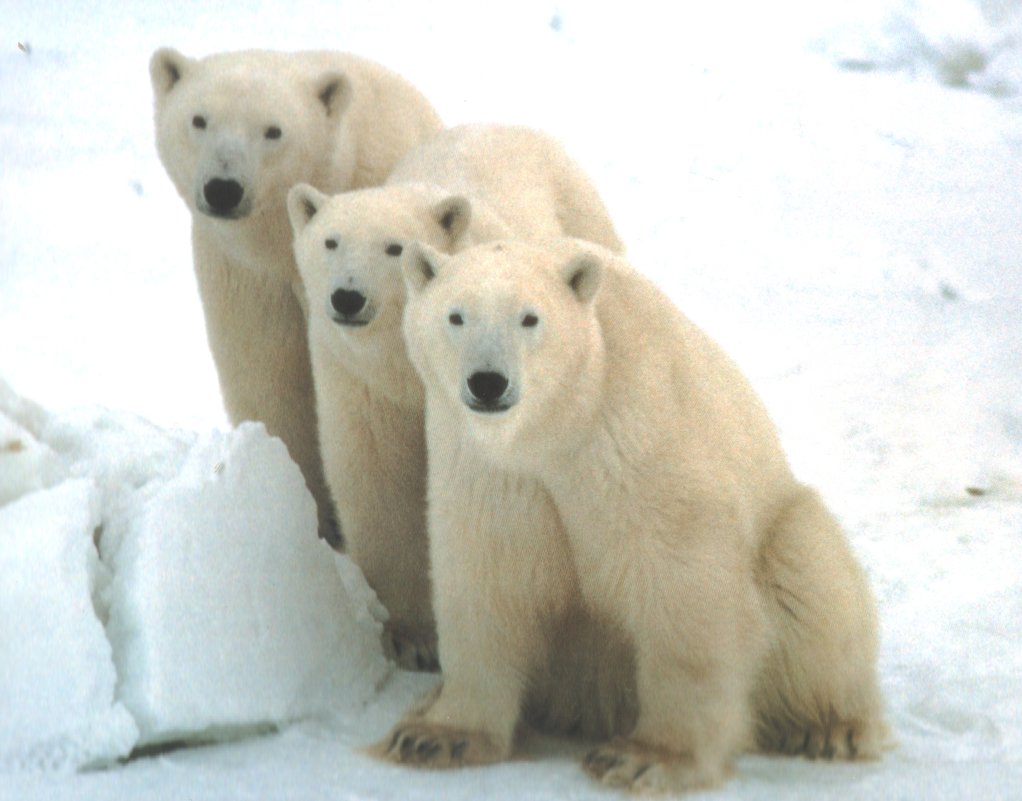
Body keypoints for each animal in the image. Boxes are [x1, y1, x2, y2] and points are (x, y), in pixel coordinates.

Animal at [149, 45, 441, 543]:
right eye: (199, 119)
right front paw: (306, 507)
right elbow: (266, 370)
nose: (223, 189)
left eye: (273, 130)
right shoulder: (246, 273)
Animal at [284, 125, 625, 674]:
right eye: (330, 241)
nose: (348, 298)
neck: (407, 363)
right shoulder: (360, 375)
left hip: (581, 213)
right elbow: (377, 477)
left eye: (394, 248)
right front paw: (410, 637)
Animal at [380, 238, 891, 792]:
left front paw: (645, 757)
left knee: (810, 583)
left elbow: (680, 587)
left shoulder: (632, 439)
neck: (555, 429)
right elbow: (488, 580)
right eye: (456, 316)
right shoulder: (490, 468)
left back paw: (830, 729)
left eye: (530, 318)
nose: (489, 383)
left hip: (785, 527)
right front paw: (437, 736)